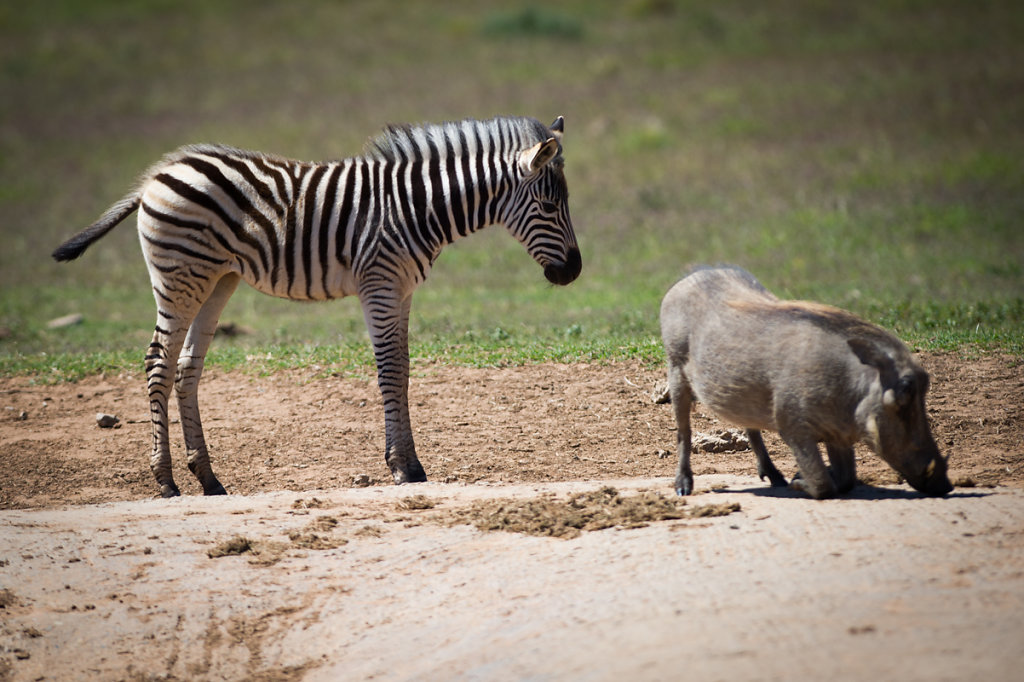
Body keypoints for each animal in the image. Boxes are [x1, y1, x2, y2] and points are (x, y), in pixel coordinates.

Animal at [54, 112, 585, 493]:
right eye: (549, 206)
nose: (575, 272)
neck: (419, 208)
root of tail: (160, 174)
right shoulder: (380, 285)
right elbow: (389, 371)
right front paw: (401, 467)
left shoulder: (404, 290)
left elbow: (404, 370)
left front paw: (412, 463)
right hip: (180, 276)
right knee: (158, 364)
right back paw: (165, 481)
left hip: (217, 279)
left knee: (187, 367)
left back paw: (208, 478)